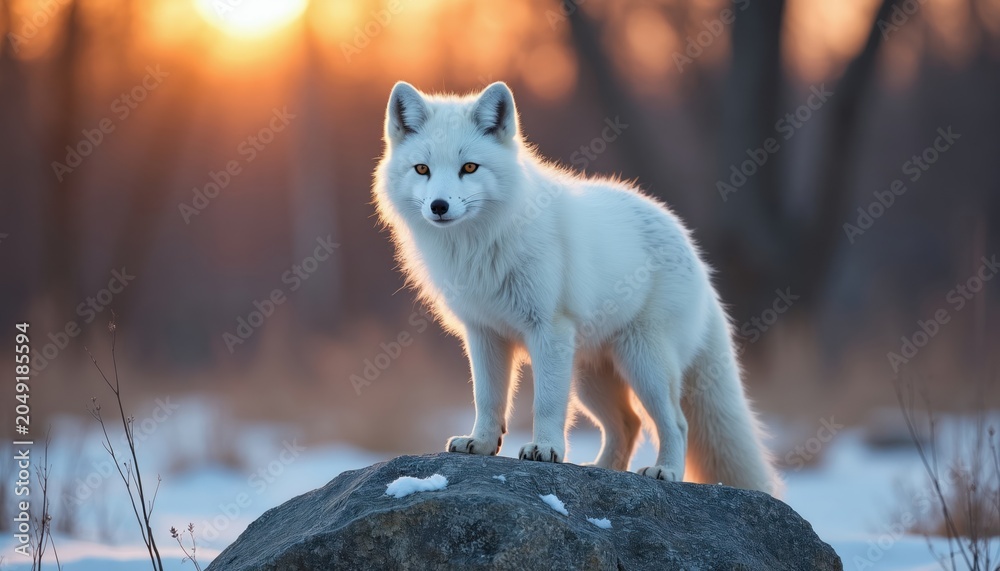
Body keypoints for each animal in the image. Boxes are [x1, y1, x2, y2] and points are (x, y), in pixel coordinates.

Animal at [372, 81, 782, 496]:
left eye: (469, 167)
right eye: (422, 169)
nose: (439, 206)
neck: (480, 244)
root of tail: (694, 250)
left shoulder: (548, 330)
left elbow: (546, 404)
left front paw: (545, 449)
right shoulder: (484, 333)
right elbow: (487, 399)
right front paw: (482, 444)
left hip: (643, 364)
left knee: (675, 423)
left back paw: (665, 471)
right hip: (590, 379)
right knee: (628, 424)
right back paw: (601, 470)